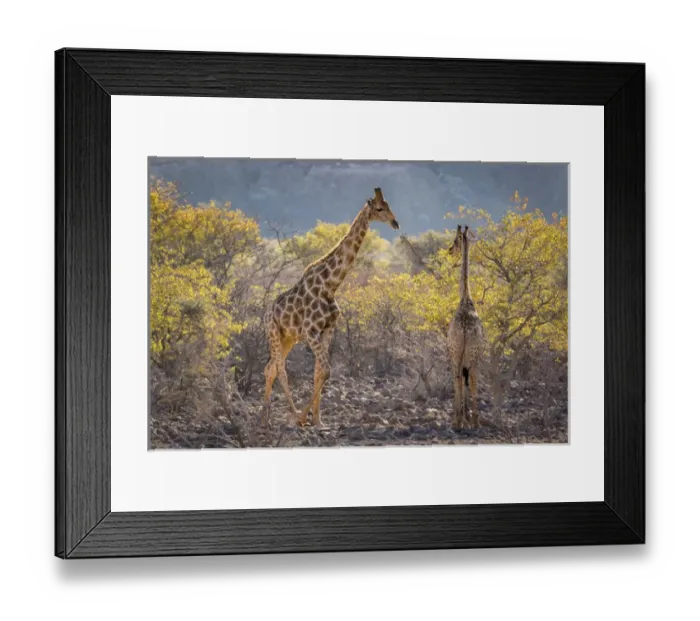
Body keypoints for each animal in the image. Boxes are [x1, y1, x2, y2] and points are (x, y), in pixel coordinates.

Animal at [262, 188, 400, 428]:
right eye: (379, 208)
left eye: (389, 205)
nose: (395, 223)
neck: (330, 285)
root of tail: (269, 310)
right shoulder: (311, 331)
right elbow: (326, 370)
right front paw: (304, 418)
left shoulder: (328, 330)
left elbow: (319, 372)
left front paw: (318, 421)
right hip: (274, 333)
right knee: (280, 370)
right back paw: (292, 416)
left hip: (288, 338)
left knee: (270, 369)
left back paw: (263, 418)